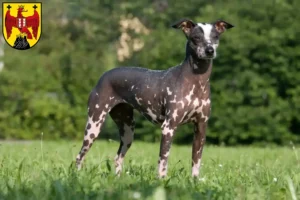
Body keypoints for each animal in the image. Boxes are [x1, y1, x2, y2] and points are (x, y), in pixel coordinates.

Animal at [75, 18, 234, 178]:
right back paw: (77, 176)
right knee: (80, 156)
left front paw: (194, 181)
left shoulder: (201, 128)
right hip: (94, 125)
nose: (209, 50)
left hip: (128, 131)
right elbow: (163, 161)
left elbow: (196, 161)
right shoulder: (168, 128)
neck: (196, 81)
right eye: (196, 37)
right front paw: (161, 180)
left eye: (215, 37)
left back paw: (118, 179)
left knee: (118, 157)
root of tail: (104, 76)